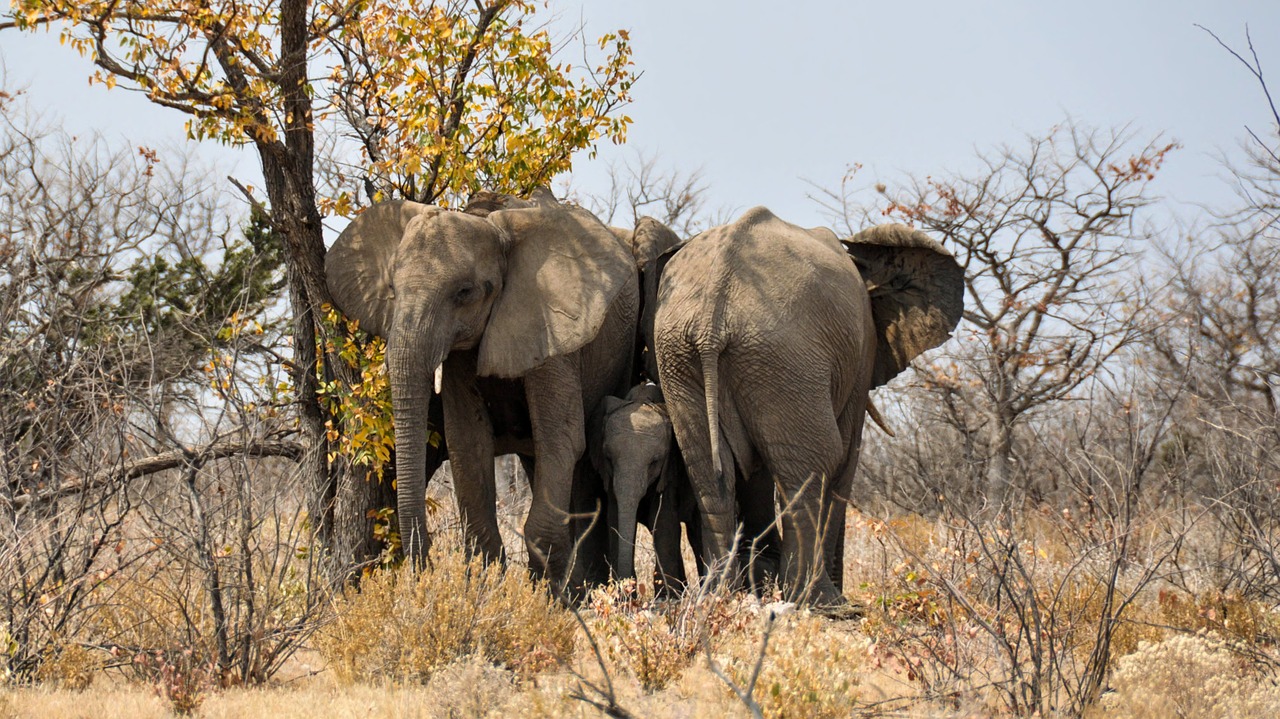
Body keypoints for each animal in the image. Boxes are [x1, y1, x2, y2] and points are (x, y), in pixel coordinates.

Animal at [325, 188, 634, 585]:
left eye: (465, 292)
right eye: (391, 289)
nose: (424, 569)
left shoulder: (553, 329)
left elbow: (560, 437)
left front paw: (546, 597)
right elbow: (469, 441)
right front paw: (488, 587)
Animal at [591, 381, 706, 593]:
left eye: (654, 462)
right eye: (609, 458)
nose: (628, 588)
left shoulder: (671, 469)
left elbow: (662, 519)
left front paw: (666, 596)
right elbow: (614, 517)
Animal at [650, 205, 962, 603]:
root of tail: (710, 322)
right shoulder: (861, 349)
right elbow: (846, 456)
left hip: (684, 357)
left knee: (708, 470)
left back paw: (720, 596)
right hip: (782, 357)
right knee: (818, 460)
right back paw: (821, 601)